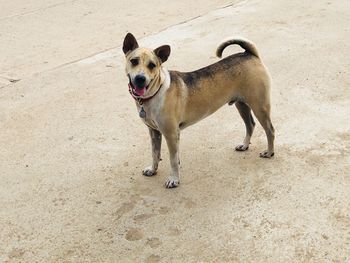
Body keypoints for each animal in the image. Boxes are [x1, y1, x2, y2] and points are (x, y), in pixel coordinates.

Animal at [122, 33, 274, 189]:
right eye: (134, 61)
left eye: (152, 65)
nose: (140, 78)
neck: (156, 91)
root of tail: (249, 54)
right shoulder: (154, 132)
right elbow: (155, 153)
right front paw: (153, 169)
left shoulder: (171, 134)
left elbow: (172, 159)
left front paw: (174, 179)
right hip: (241, 105)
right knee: (250, 125)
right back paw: (244, 145)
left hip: (259, 106)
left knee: (270, 130)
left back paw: (269, 152)